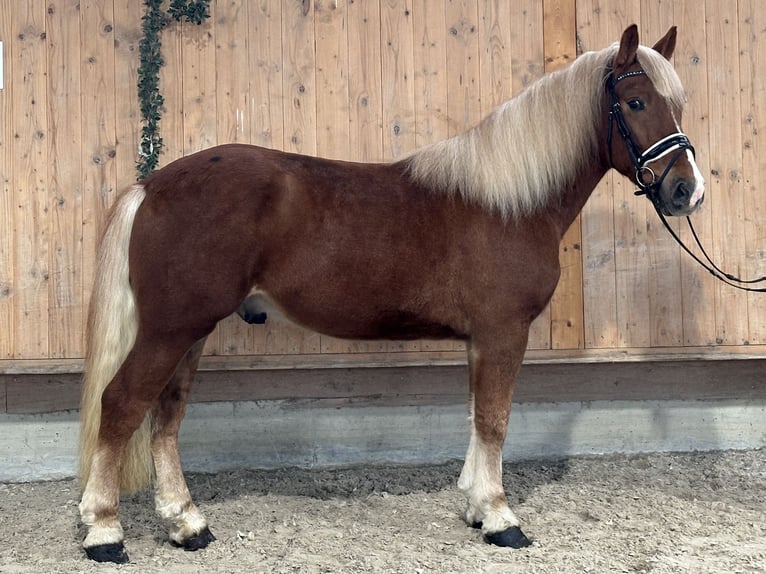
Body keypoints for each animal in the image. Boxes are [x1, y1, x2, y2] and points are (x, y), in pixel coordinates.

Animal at [79, 24, 708, 564]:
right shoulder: (504, 332)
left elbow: (477, 415)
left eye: (677, 104)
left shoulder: (480, 341)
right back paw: (105, 532)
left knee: (166, 416)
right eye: (635, 103)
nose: (687, 191)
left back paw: (186, 525)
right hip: (171, 330)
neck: (508, 202)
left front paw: (476, 507)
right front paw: (501, 519)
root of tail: (151, 185)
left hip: (190, 331)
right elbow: (496, 419)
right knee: (123, 405)